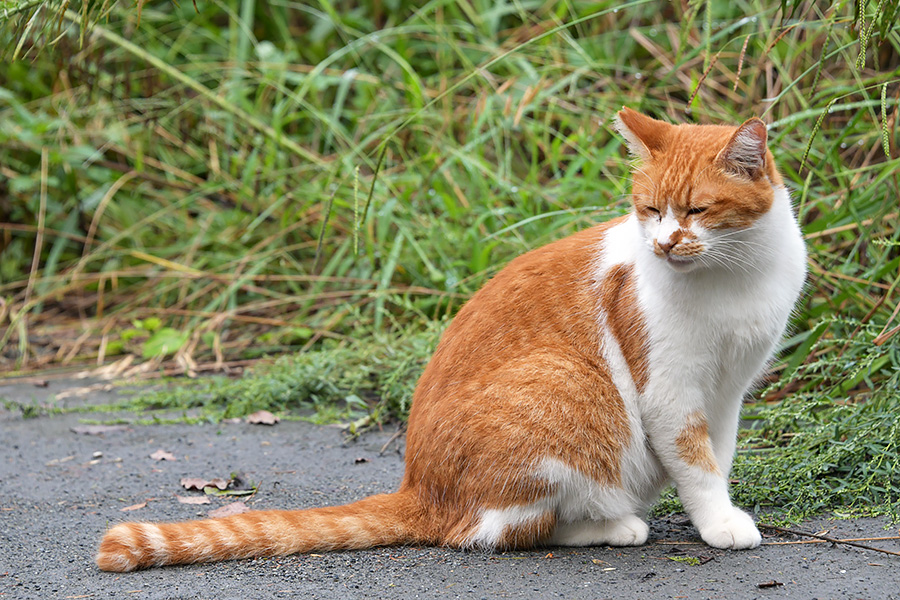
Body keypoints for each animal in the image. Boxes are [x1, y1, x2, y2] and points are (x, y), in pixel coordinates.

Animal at [96, 108, 808, 572]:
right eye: (651, 209)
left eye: (696, 211)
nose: (663, 244)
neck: (732, 278)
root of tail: (419, 486)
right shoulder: (670, 392)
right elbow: (696, 465)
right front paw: (720, 524)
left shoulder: (727, 391)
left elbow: (718, 455)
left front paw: (718, 511)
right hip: (567, 387)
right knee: (500, 529)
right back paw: (613, 525)